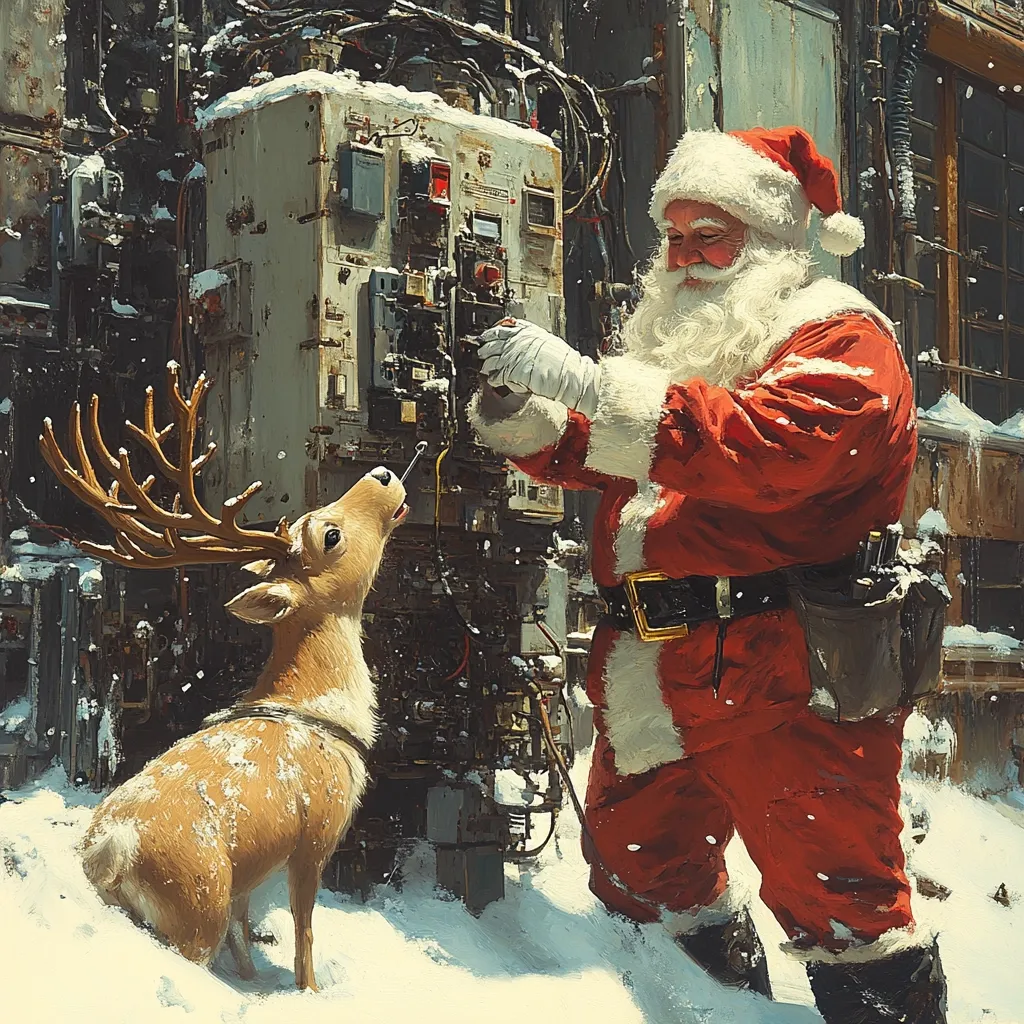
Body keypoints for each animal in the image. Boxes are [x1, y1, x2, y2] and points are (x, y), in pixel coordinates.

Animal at [39, 361, 409, 990]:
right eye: (329, 535)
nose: (384, 473)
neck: (314, 702)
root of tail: (110, 853)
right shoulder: (316, 835)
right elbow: (304, 933)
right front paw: (309, 991)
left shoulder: (250, 874)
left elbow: (245, 930)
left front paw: (255, 975)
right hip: (195, 901)